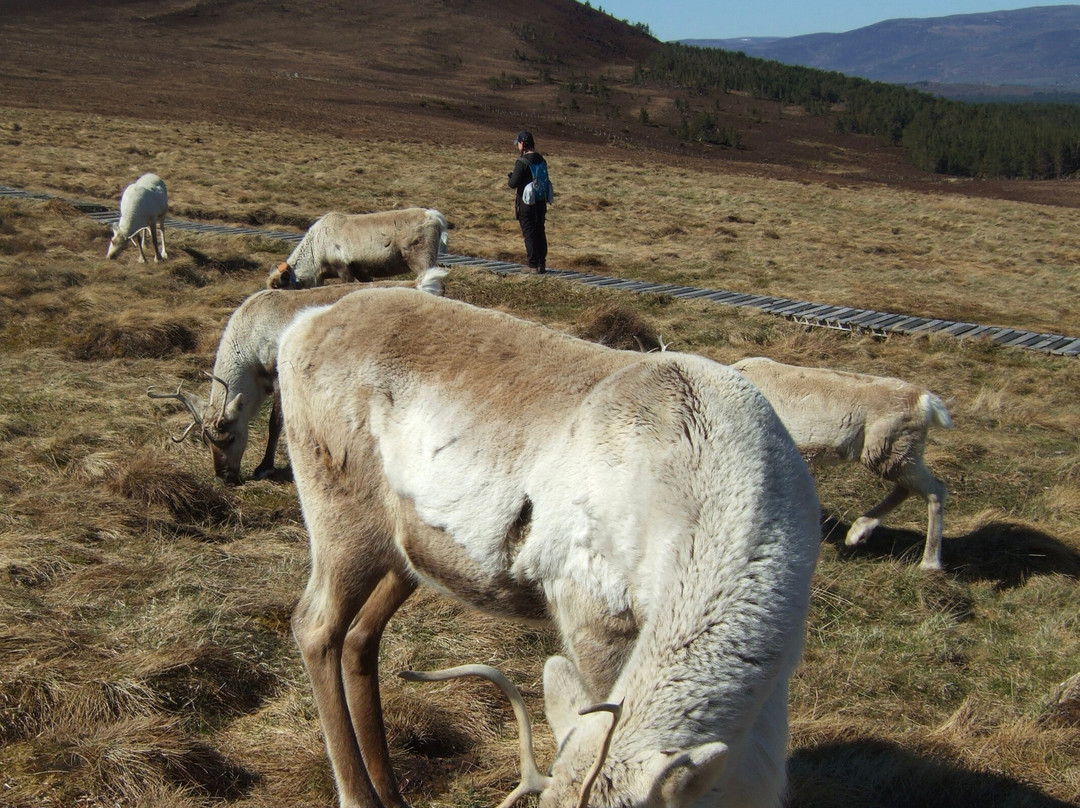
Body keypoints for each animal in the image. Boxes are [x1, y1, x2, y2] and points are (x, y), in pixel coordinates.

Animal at [276, 287, 821, 808]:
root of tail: (300, 326)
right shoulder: (592, 609)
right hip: (342, 523)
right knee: (315, 625)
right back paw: (357, 794)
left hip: (404, 554)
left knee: (360, 636)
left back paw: (391, 791)